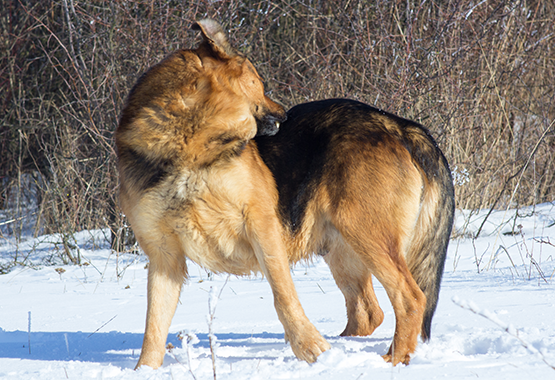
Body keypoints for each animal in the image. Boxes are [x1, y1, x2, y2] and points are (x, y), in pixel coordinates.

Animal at [115, 19, 454, 370]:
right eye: (259, 83)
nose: (286, 116)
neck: (192, 148)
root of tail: (398, 125)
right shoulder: (163, 256)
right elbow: (154, 326)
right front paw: (144, 371)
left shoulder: (261, 226)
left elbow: (284, 296)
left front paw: (310, 348)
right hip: (344, 249)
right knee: (368, 312)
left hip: (366, 232)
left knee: (410, 298)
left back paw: (391, 361)